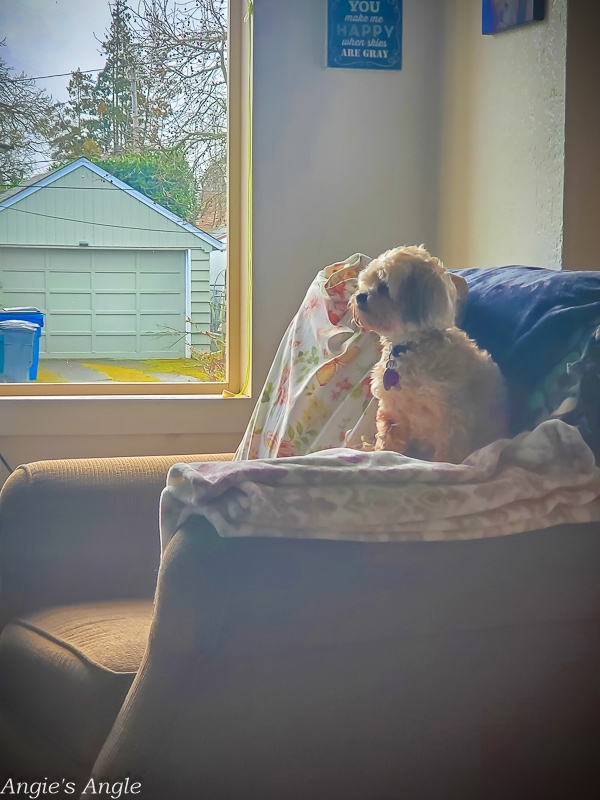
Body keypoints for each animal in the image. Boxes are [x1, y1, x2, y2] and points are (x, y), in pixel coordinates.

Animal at [352, 247, 506, 466]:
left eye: (383, 287)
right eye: (365, 283)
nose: (359, 296)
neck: (408, 347)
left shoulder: (451, 414)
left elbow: (448, 448)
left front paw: (444, 463)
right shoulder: (392, 410)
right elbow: (387, 437)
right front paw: (382, 452)